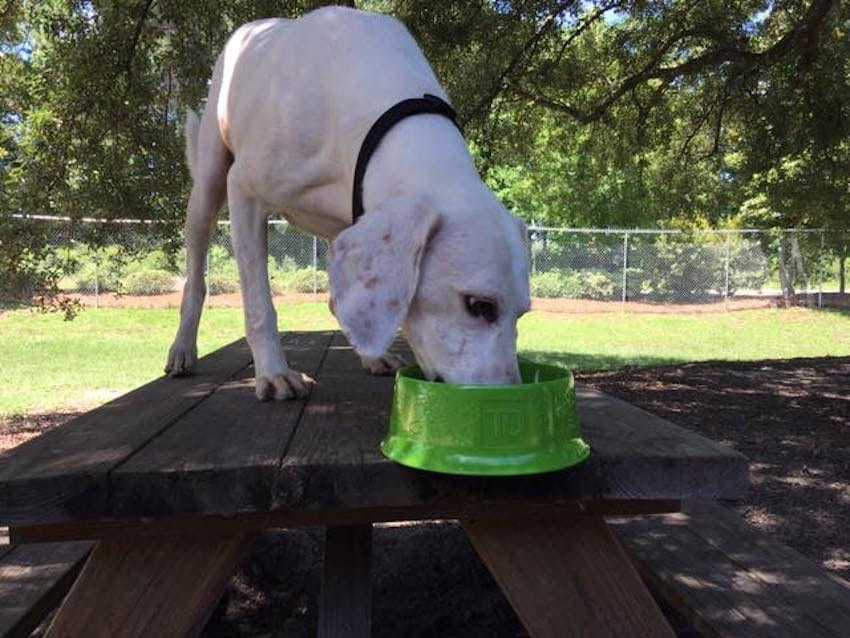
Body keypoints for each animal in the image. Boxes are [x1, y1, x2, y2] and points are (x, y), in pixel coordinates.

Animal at [162, 6, 528, 400]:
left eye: (523, 313)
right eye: (479, 306)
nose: (512, 401)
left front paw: (373, 353)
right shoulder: (244, 190)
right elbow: (260, 304)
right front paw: (274, 372)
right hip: (208, 185)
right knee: (196, 278)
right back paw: (182, 348)